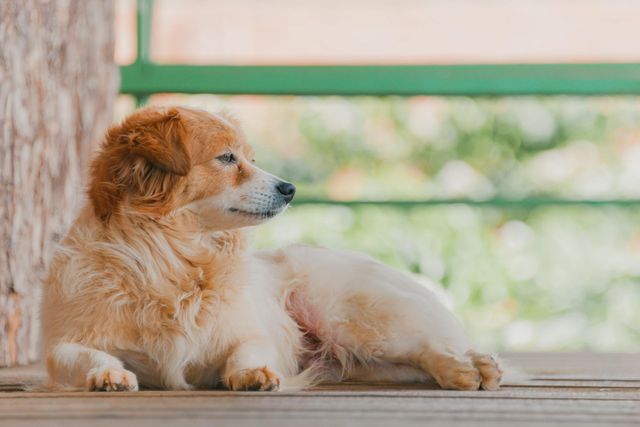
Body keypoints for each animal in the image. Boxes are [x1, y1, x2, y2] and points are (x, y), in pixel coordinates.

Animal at [42, 106, 502, 392]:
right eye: (227, 158)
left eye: (250, 156)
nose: (291, 188)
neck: (172, 258)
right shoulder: (62, 345)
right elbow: (81, 356)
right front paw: (108, 373)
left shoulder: (249, 333)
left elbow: (247, 351)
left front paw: (252, 374)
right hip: (369, 361)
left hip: (357, 324)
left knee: (427, 346)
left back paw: (466, 367)